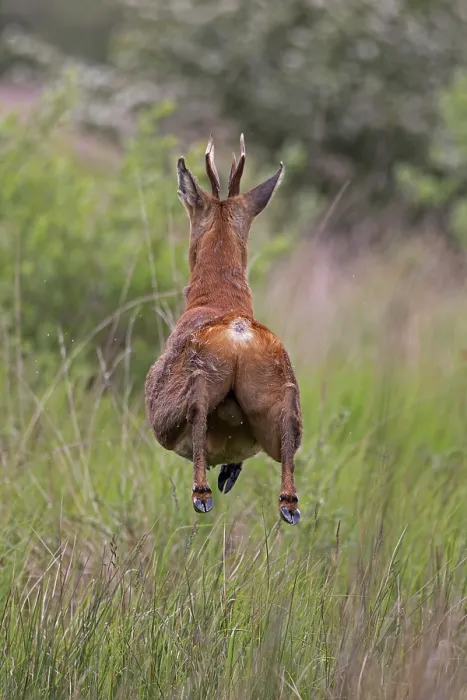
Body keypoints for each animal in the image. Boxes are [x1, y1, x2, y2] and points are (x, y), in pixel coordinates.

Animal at [145, 135, 302, 525]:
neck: (218, 299)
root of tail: (238, 335)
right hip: (276, 403)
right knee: (289, 434)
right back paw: (288, 504)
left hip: (173, 406)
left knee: (197, 403)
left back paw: (202, 493)